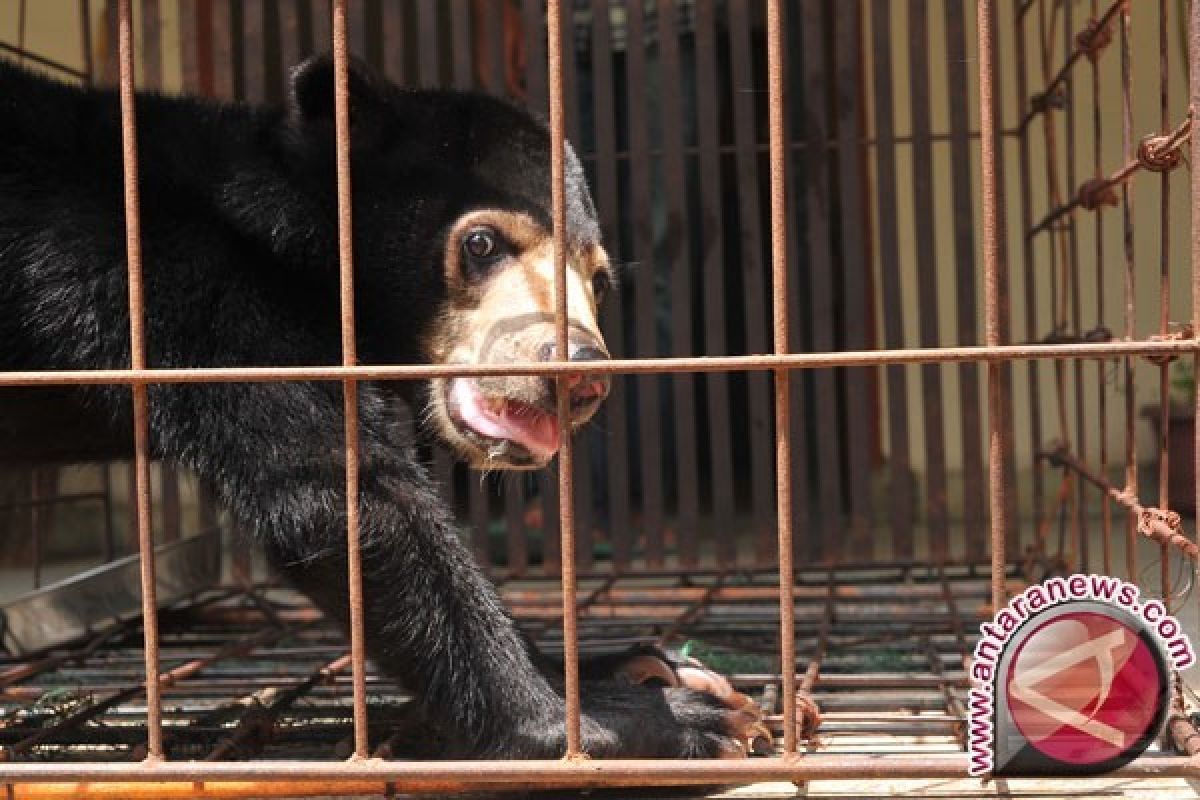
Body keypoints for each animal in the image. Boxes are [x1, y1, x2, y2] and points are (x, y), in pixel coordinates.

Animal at [0, 59, 763, 762]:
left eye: (597, 281)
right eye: (483, 244)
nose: (577, 374)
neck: (285, 245)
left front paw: (638, 667)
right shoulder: (182, 292)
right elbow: (345, 498)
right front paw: (638, 720)